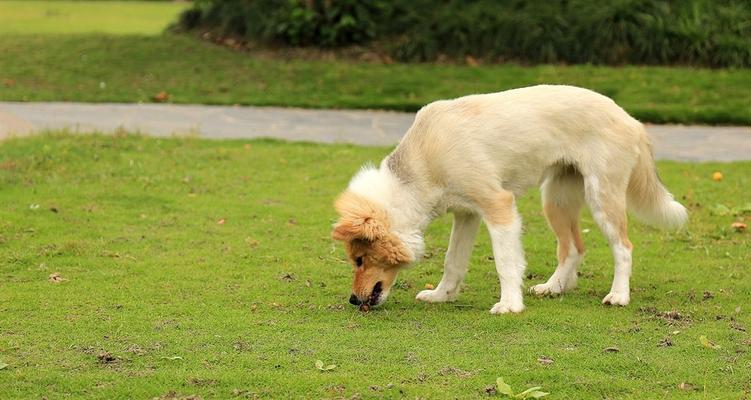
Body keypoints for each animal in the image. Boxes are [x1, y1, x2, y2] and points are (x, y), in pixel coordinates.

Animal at [332, 86, 684, 314]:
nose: (352, 300)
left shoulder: (498, 206)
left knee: (623, 247)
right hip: (555, 199)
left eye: (360, 259)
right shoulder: (466, 214)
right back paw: (554, 287)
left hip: (602, 197)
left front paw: (510, 305)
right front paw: (442, 295)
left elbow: (506, 262)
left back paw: (618, 295)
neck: (422, 166)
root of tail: (630, 119)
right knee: (573, 247)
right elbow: (453, 260)